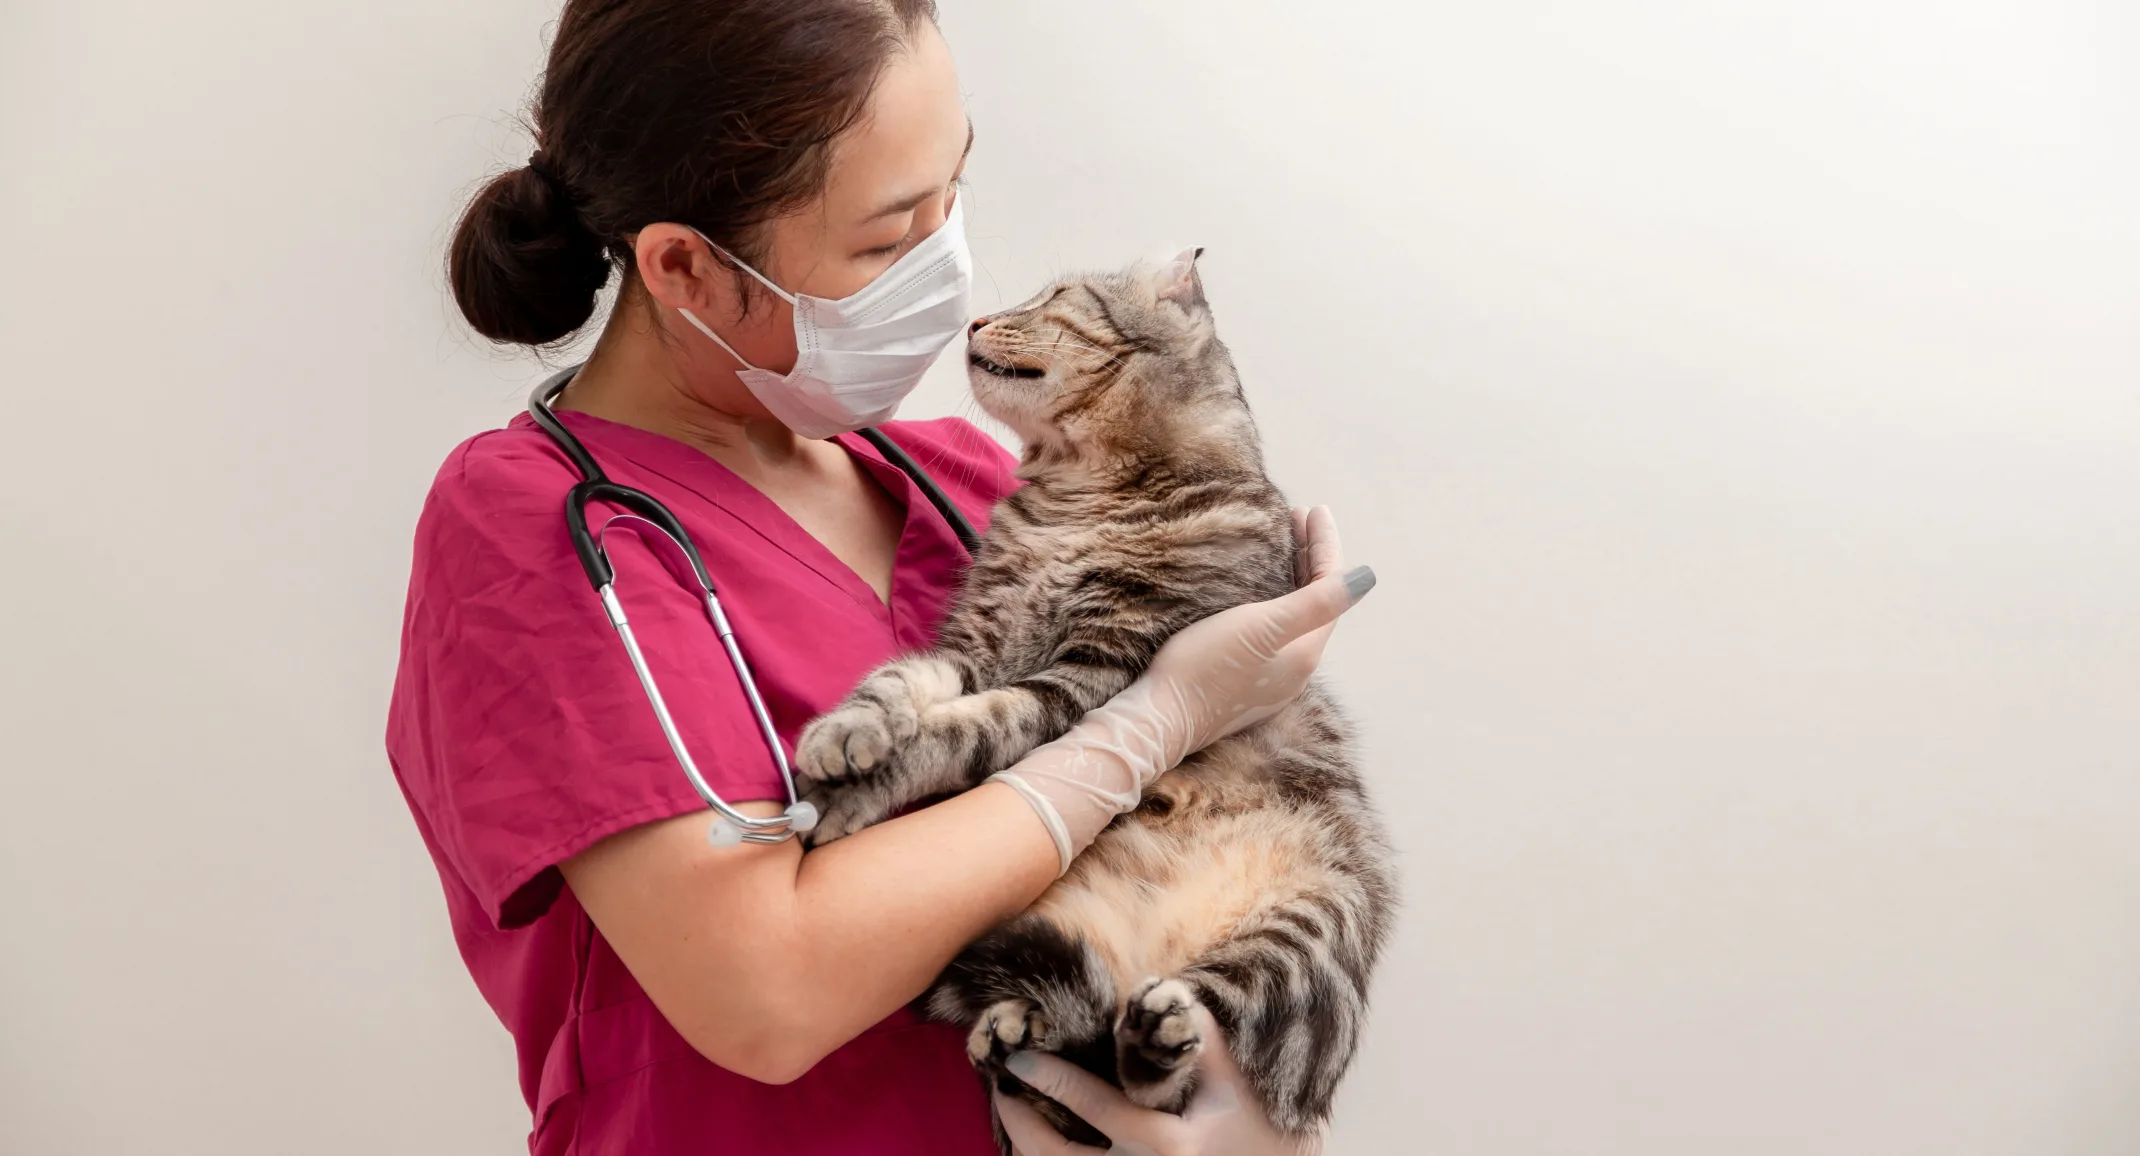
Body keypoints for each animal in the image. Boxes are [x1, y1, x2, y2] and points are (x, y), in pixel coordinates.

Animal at [796, 250, 1395, 1147]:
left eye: (1052, 296)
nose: (975, 320)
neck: (1075, 497)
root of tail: (1143, 958)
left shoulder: (1095, 674)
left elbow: (969, 729)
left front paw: (864, 782)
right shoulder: (977, 646)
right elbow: (902, 682)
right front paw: (848, 731)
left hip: (1304, 938)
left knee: (1164, 1072)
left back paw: (1149, 1039)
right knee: (1086, 1051)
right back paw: (1018, 1034)